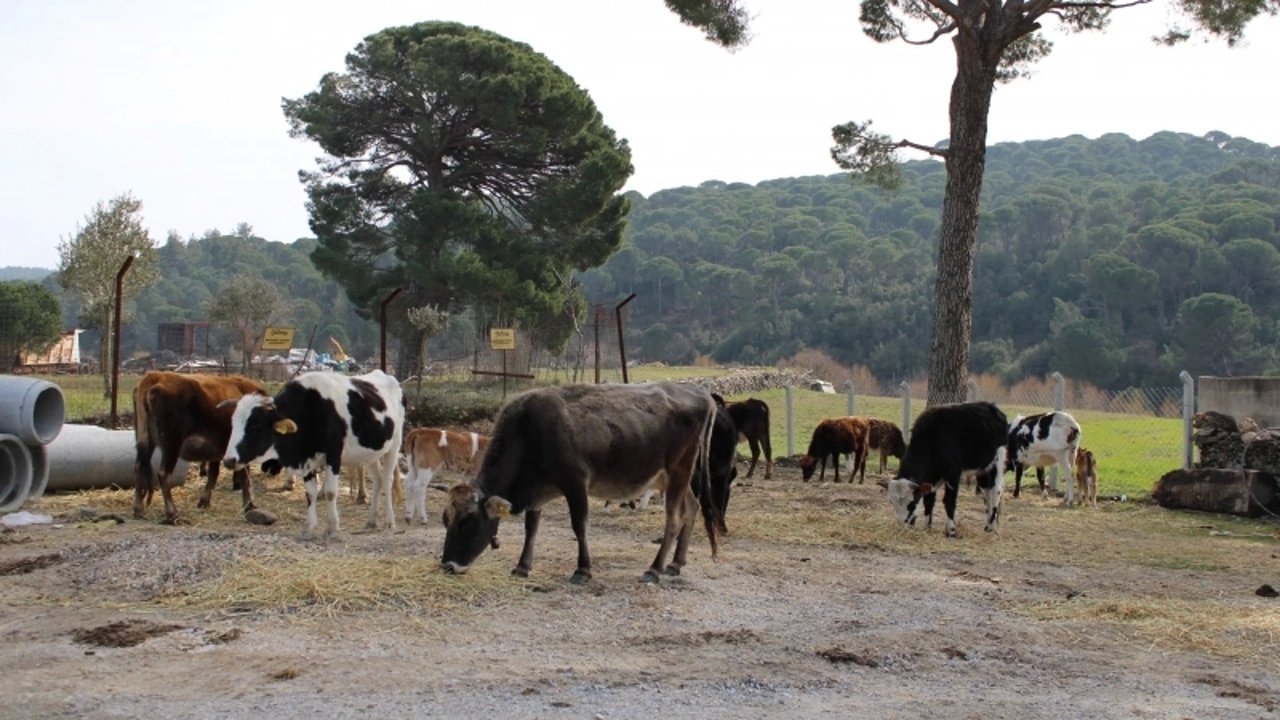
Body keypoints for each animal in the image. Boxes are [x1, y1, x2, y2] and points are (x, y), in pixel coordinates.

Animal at [133, 368, 266, 520]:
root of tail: (155, 376)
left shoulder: (217, 452)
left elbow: (214, 474)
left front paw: (204, 502)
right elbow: (245, 477)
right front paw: (249, 505)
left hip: (145, 442)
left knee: (139, 467)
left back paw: (138, 509)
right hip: (171, 446)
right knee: (163, 474)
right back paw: (172, 513)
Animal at [217, 371, 401, 535]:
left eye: (255, 426)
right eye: (233, 425)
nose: (229, 460)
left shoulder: (334, 456)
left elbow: (330, 492)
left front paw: (332, 527)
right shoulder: (306, 459)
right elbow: (310, 494)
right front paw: (310, 527)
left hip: (394, 446)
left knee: (387, 480)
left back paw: (390, 521)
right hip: (370, 454)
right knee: (377, 480)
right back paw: (371, 520)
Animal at [440, 381, 721, 584]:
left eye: (468, 522)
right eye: (445, 520)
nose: (448, 566)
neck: (530, 431)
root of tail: (700, 393)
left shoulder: (575, 482)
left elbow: (579, 526)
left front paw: (583, 570)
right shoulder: (536, 492)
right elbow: (531, 528)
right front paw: (522, 566)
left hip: (679, 469)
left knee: (674, 519)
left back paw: (655, 569)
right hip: (671, 477)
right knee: (692, 508)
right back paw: (676, 564)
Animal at [880, 399, 1008, 535]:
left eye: (912, 503)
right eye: (891, 502)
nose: (902, 526)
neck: (933, 439)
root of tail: (991, 406)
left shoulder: (953, 474)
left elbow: (949, 501)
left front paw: (951, 531)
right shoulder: (931, 479)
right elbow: (929, 501)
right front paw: (927, 527)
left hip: (997, 463)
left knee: (996, 492)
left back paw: (991, 528)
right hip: (982, 471)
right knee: (987, 494)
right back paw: (991, 525)